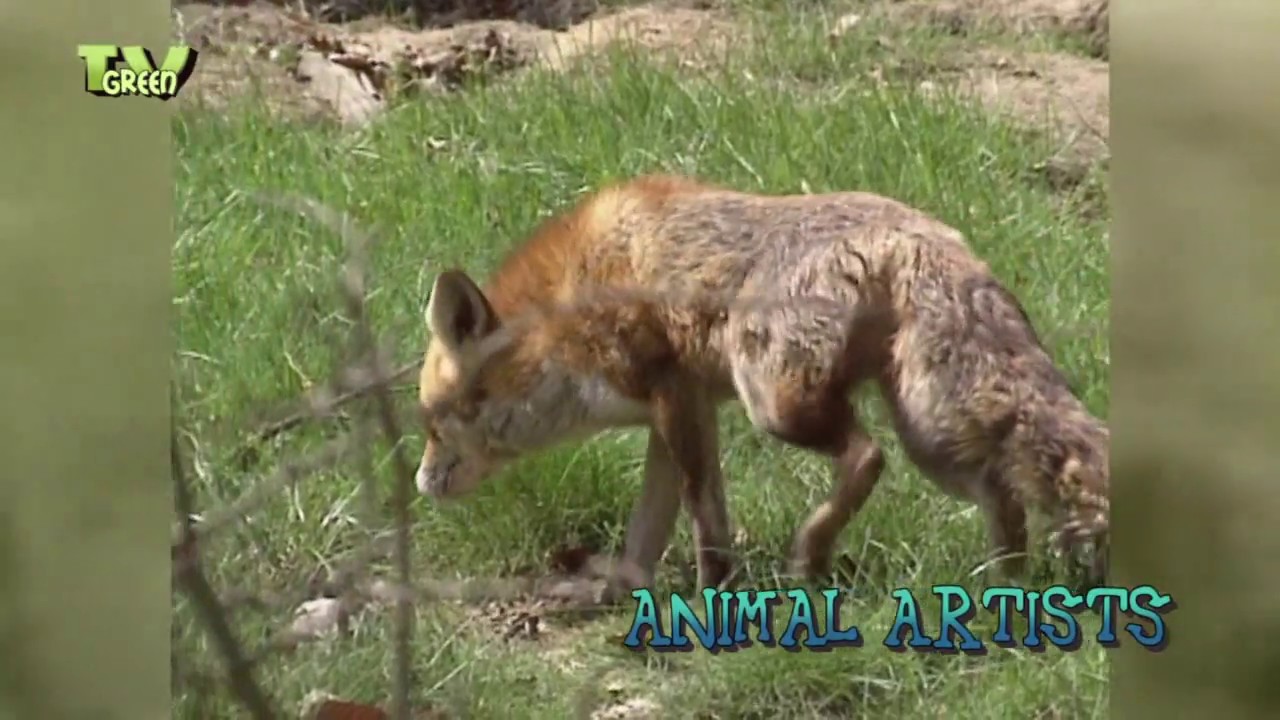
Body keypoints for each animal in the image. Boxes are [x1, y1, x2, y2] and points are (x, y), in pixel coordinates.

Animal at [414, 174, 1109, 601]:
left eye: (432, 420)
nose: (421, 483)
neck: (571, 303)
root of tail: (923, 233)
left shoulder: (673, 397)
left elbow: (703, 519)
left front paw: (711, 597)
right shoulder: (682, 410)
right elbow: (648, 532)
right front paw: (611, 597)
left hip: (776, 403)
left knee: (868, 456)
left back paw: (812, 556)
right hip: (930, 431)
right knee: (1002, 493)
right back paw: (1001, 589)